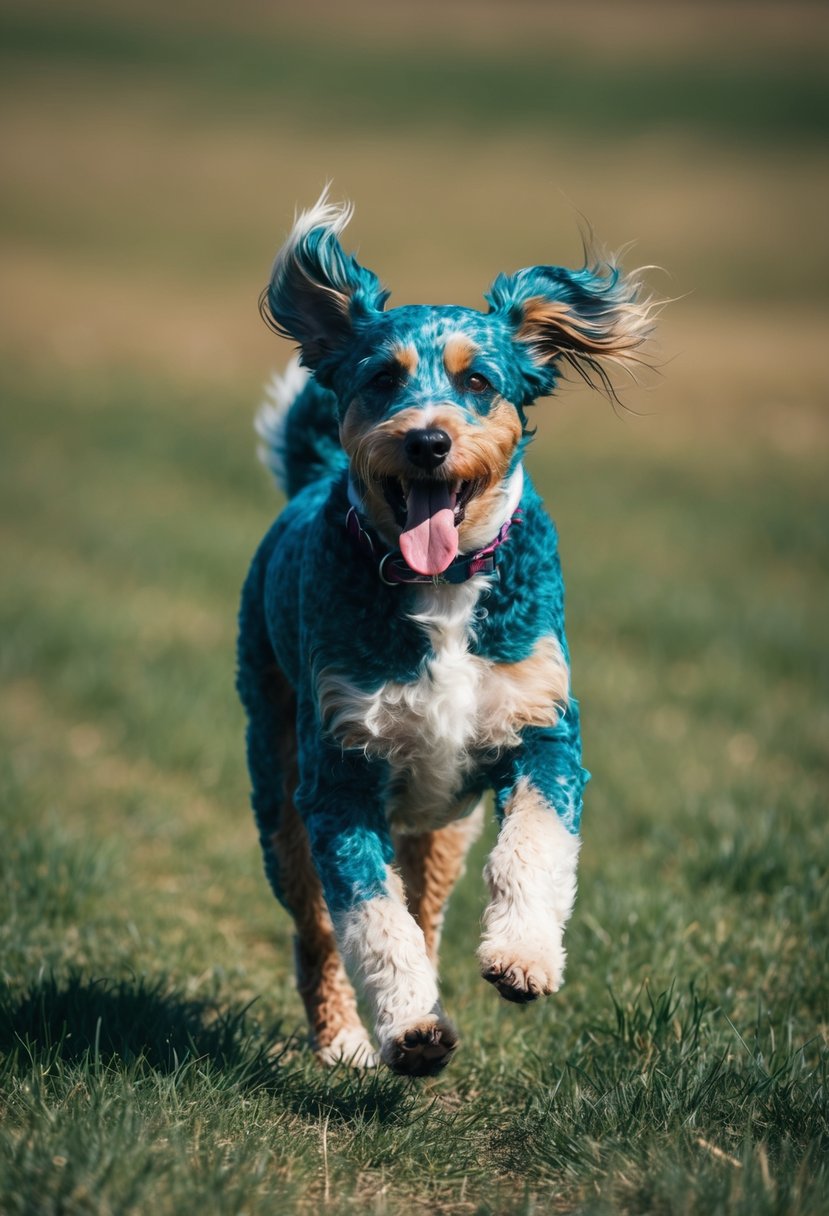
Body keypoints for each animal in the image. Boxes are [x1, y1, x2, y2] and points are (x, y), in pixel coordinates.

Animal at [234, 194, 651, 1079]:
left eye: (478, 381)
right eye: (381, 378)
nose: (427, 439)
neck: (443, 586)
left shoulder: (541, 728)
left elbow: (533, 846)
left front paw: (522, 958)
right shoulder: (337, 772)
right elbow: (369, 920)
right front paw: (409, 1029)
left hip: (441, 821)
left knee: (426, 905)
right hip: (275, 777)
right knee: (317, 927)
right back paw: (346, 1039)